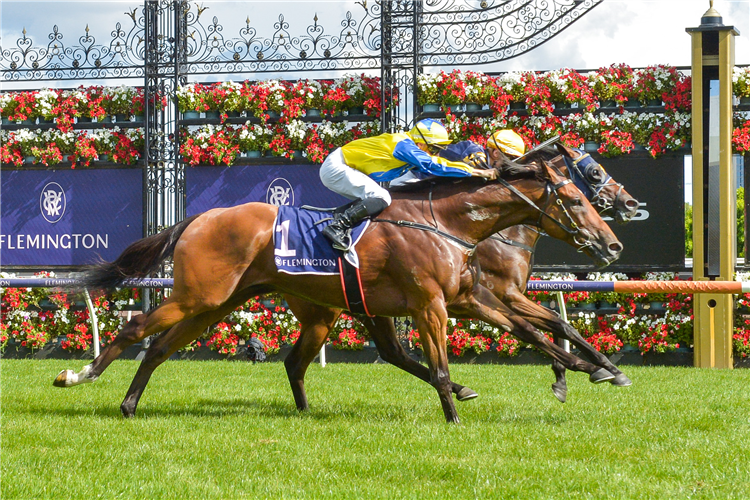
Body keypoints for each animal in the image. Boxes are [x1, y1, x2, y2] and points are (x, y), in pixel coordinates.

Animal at [55, 159, 624, 422]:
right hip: (199, 296)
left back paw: (130, 404)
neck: (447, 221)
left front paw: (594, 368)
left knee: (162, 347)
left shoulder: (469, 298)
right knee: (136, 329)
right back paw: (77, 375)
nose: (612, 244)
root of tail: (199, 218)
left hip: (222, 303)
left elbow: (540, 329)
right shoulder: (433, 304)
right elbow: (444, 363)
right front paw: (455, 415)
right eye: (577, 198)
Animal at [282, 143, 640, 408]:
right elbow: (544, 325)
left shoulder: (486, 296)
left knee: (388, 352)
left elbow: (554, 324)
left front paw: (595, 372)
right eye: (594, 173)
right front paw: (597, 371)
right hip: (327, 311)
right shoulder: (502, 293)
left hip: (366, 307)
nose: (630, 204)